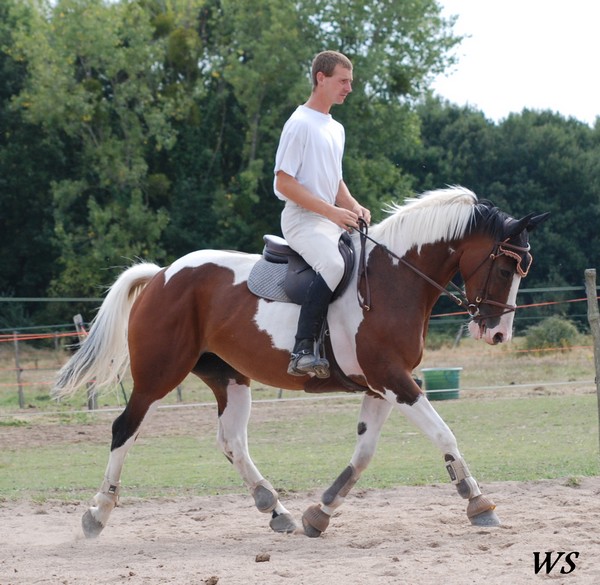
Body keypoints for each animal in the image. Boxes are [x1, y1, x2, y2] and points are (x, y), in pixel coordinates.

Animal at [54, 187, 548, 540]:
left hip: (230, 379)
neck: (395, 279)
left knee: (232, 441)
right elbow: (444, 434)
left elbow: (363, 454)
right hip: (158, 376)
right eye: (508, 269)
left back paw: (276, 510)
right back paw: (97, 514)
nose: (498, 334)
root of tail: (161, 275)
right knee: (125, 429)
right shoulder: (394, 379)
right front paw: (477, 503)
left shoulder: (381, 385)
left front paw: (319, 513)